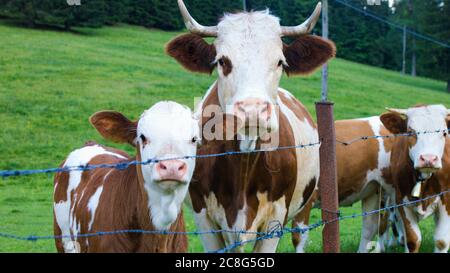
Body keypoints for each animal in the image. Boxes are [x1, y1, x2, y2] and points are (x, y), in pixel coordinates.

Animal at [165, 0, 334, 252]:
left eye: (280, 62)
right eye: (222, 61)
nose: (252, 111)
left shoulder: (276, 217)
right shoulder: (203, 216)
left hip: (307, 202)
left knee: (300, 236)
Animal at [380, 103, 450, 252]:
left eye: (444, 133)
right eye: (410, 131)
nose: (429, 159)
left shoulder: (447, 198)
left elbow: (441, 241)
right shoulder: (401, 199)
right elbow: (412, 240)